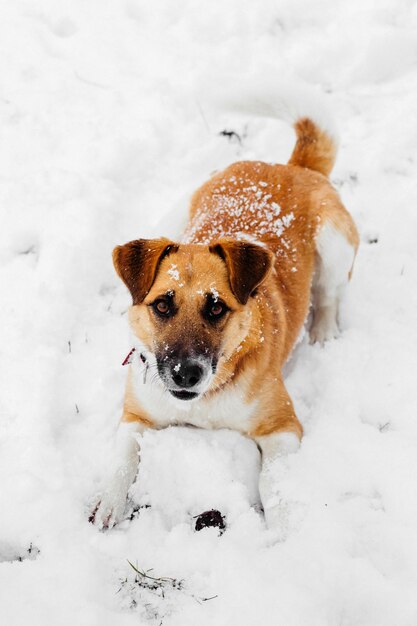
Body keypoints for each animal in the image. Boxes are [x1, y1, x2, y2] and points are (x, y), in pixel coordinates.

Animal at [91, 96, 358, 528]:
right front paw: (109, 499)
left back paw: (324, 330)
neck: (204, 400)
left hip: (334, 244)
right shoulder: (135, 414)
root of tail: (288, 166)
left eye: (216, 306)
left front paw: (284, 530)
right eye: (162, 304)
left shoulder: (282, 427)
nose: (186, 373)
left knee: (330, 294)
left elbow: (275, 483)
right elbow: (122, 455)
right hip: (178, 211)